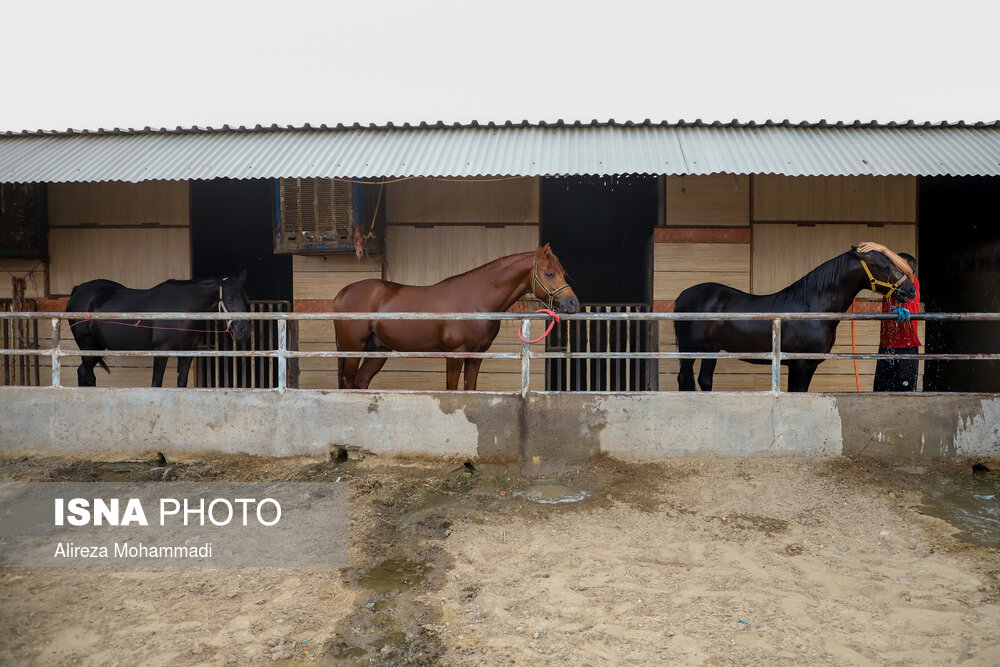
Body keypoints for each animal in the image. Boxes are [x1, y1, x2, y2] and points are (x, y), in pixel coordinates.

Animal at [67, 270, 252, 386]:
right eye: (229, 300)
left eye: (246, 299)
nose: (244, 331)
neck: (182, 309)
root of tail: (78, 290)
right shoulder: (161, 351)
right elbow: (156, 384)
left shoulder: (187, 353)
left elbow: (181, 384)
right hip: (87, 346)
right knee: (88, 375)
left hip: (95, 348)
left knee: (82, 373)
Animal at [332, 245, 580, 392]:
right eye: (549, 274)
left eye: (563, 272)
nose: (573, 304)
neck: (477, 299)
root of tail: (341, 294)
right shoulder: (455, 354)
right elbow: (452, 391)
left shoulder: (476, 356)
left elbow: (470, 390)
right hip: (353, 348)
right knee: (348, 383)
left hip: (378, 351)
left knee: (361, 382)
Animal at [676, 249, 916, 392]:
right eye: (884, 266)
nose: (911, 290)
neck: (812, 308)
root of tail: (682, 296)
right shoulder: (798, 365)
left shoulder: (810, 366)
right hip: (689, 349)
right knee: (685, 379)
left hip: (711, 349)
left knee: (704, 380)